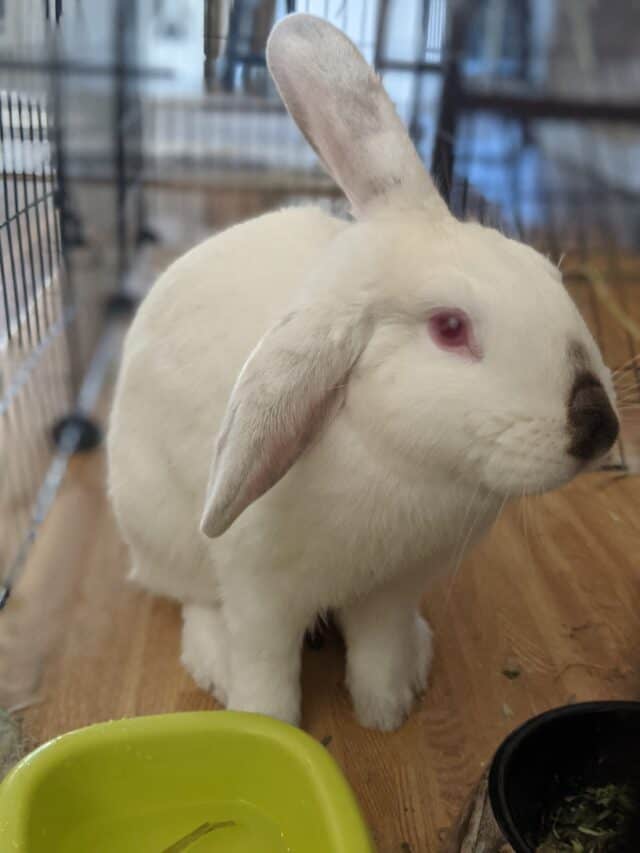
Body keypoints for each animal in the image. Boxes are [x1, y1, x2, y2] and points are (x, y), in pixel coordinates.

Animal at [107, 13, 619, 731]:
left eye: (547, 271)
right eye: (450, 328)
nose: (599, 427)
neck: (402, 462)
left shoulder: (395, 588)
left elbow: (377, 642)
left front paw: (387, 708)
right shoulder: (260, 593)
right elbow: (267, 665)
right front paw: (268, 722)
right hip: (165, 535)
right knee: (194, 600)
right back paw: (213, 660)